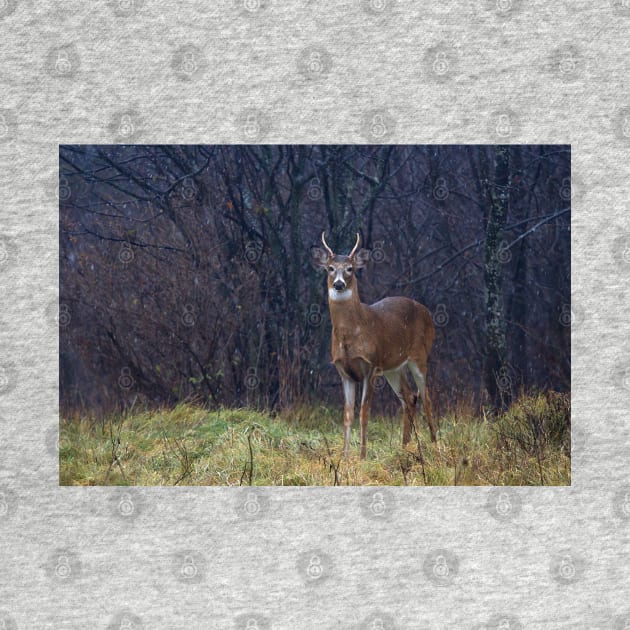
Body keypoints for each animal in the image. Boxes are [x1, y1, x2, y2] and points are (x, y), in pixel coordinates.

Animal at [312, 232, 440, 460]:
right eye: (330, 268)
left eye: (350, 269)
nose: (338, 284)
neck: (351, 335)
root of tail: (426, 311)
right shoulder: (343, 371)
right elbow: (347, 414)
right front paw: (345, 457)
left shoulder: (370, 366)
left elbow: (364, 412)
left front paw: (362, 456)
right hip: (394, 367)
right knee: (409, 397)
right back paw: (404, 448)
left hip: (420, 355)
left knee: (426, 397)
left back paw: (434, 446)